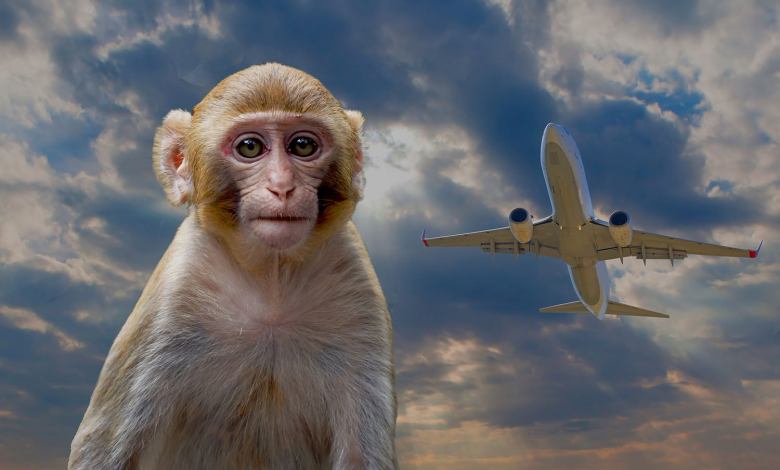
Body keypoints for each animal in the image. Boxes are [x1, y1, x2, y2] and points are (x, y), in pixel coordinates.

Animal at [69, 63, 397, 469]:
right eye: (249, 147)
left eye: (303, 146)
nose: (282, 186)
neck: (272, 281)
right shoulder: (173, 295)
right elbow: (105, 447)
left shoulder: (357, 289)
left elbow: (360, 455)